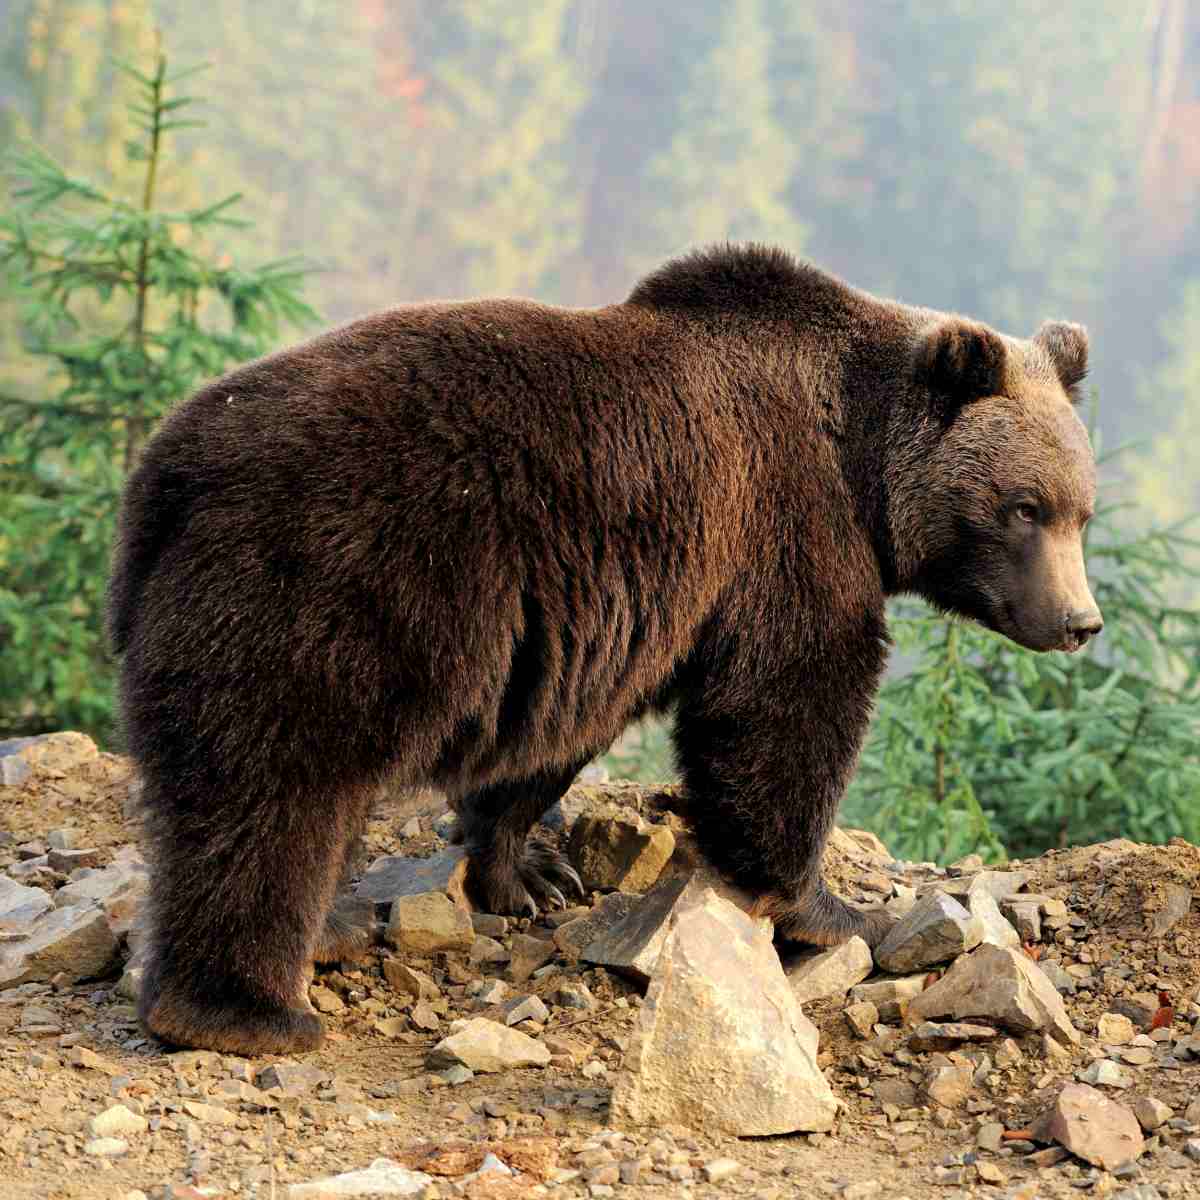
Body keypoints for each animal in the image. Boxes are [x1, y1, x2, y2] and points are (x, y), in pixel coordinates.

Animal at [108, 243, 1101, 1055]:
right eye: (1023, 507)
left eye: (1081, 509)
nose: (1079, 621)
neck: (859, 460)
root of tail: (167, 469)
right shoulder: (780, 529)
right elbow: (786, 703)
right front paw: (832, 909)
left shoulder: (611, 611)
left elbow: (560, 734)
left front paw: (530, 873)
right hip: (334, 582)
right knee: (273, 789)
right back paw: (247, 1009)